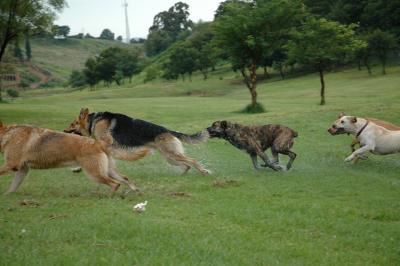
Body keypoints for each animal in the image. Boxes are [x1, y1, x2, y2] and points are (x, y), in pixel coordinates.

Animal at [0, 121, 145, 194]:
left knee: (115, 184)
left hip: (95, 174)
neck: (7, 133)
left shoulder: (11, 164)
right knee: (125, 179)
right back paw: (136, 191)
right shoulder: (22, 170)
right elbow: (13, 187)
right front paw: (7, 196)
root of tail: (98, 142)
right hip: (108, 170)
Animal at [64, 108, 211, 175]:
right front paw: (77, 168)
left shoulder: (106, 142)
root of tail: (168, 130)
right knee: (187, 165)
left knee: (192, 161)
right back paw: (182, 176)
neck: (93, 121)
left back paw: (204, 172)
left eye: (72, 124)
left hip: (172, 155)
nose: (64, 131)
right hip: (170, 158)